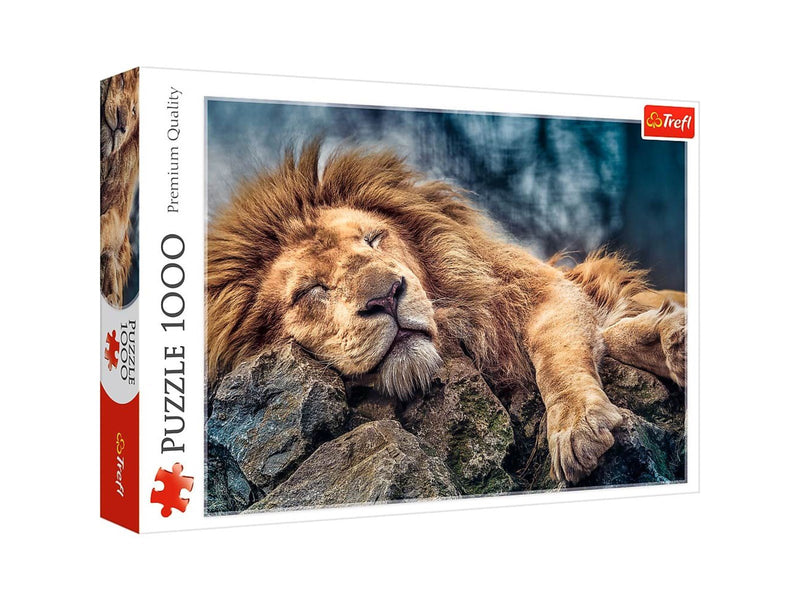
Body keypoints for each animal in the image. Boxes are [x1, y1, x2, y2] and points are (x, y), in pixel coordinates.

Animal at [206, 141, 686, 484]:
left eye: (374, 239)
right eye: (311, 290)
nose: (386, 296)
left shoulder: (541, 289)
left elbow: (558, 352)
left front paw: (578, 424)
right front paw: (666, 340)